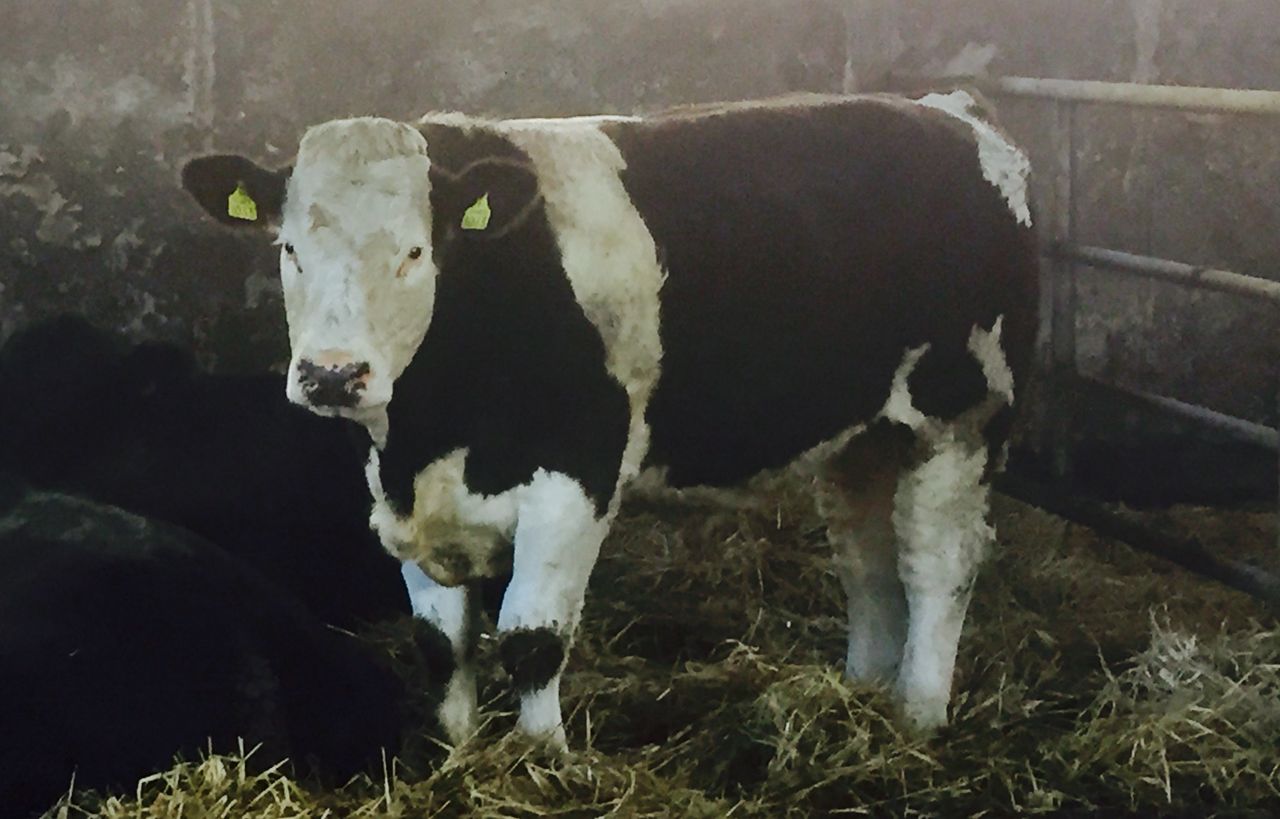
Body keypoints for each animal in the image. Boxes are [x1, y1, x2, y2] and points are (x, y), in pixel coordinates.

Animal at [181, 90, 1039, 749]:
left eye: (416, 252)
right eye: (289, 248)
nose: (333, 373)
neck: (432, 431)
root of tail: (954, 113)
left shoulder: (577, 477)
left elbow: (530, 638)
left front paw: (543, 757)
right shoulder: (402, 498)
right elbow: (441, 644)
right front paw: (458, 752)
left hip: (962, 421)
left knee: (937, 567)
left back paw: (919, 718)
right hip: (864, 441)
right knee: (868, 568)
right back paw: (863, 694)